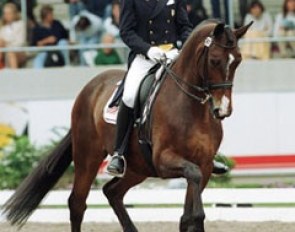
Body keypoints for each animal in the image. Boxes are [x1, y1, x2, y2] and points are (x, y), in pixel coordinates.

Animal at [1, 20, 252, 232]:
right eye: (215, 60)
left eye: (238, 60)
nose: (223, 110)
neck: (191, 107)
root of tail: (90, 88)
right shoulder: (165, 160)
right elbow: (194, 196)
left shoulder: (206, 165)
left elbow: (189, 215)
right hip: (88, 157)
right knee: (77, 203)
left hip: (136, 167)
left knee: (112, 192)